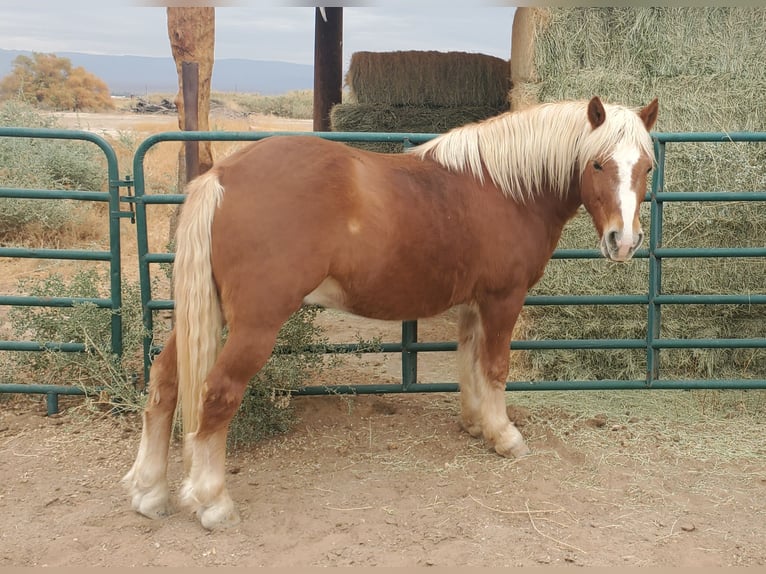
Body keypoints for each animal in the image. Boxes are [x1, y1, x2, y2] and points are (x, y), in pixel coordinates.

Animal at [124, 95, 660, 532]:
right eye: (597, 164)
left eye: (648, 167)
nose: (625, 241)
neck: (505, 188)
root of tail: (223, 176)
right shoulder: (502, 299)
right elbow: (495, 368)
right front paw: (505, 437)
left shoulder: (474, 305)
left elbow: (469, 365)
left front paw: (476, 425)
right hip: (255, 325)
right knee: (217, 394)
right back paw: (213, 502)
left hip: (206, 316)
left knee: (164, 384)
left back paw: (149, 491)